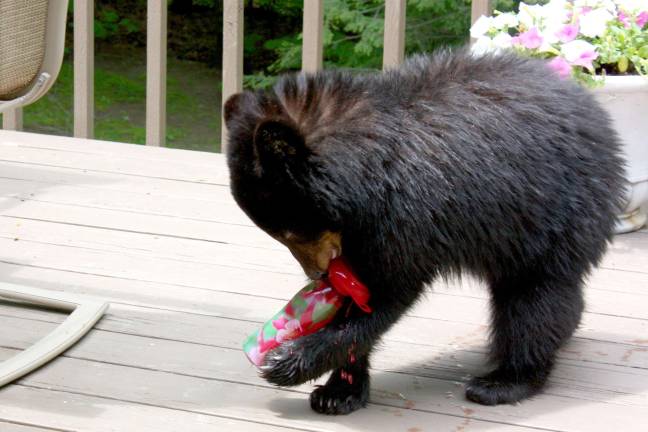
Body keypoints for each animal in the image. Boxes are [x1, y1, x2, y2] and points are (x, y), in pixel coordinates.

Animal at [223, 48, 625, 415]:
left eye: (291, 231)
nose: (317, 274)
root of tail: (598, 115)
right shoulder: (360, 229)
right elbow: (357, 291)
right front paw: (340, 390)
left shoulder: (407, 216)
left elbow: (388, 292)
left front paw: (290, 361)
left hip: (557, 214)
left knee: (534, 298)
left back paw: (506, 381)